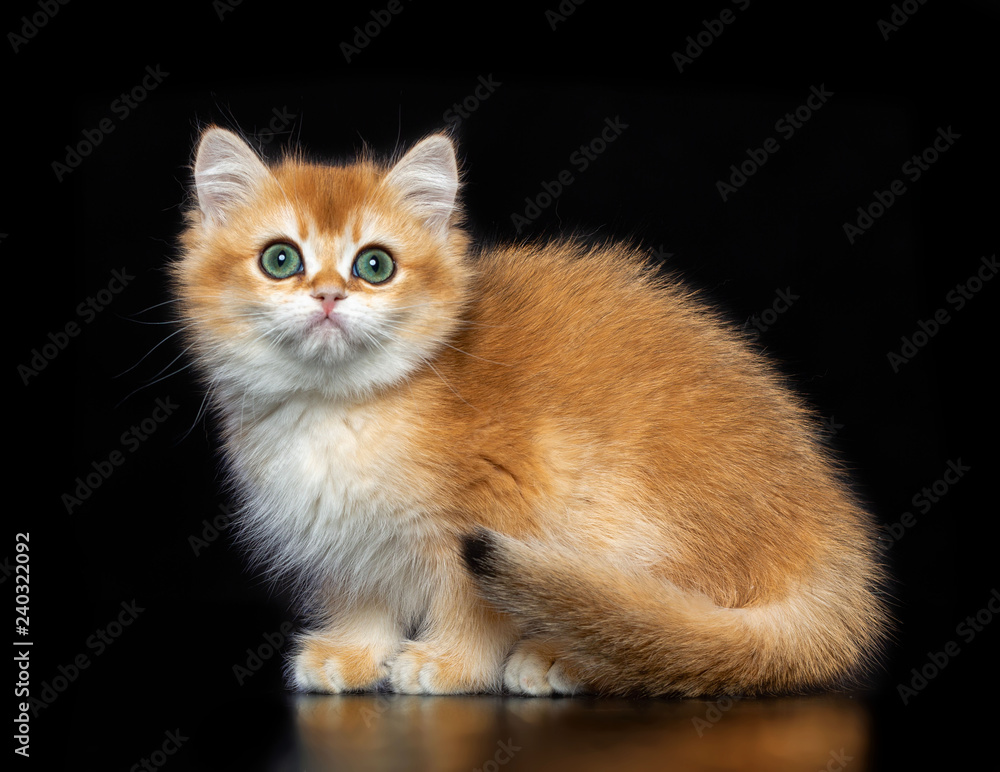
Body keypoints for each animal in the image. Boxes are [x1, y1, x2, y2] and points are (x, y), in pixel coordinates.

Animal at [174, 128, 892, 700]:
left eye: (375, 265)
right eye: (281, 258)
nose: (327, 296)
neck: (342, 408)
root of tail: (830, 544)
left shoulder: (495, 507)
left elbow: (472, 605)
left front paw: (449, 665)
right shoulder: (345, 535)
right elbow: (364, 596)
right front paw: (352, 654)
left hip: (622, 520)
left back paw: (560, 660)